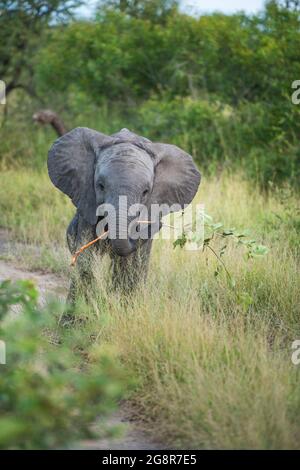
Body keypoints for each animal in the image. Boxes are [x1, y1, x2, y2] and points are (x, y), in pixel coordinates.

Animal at [48, 126, 200, 302]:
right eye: (100, 186)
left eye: (145, 192)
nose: (159, 224)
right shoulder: (88, 202)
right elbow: (86, 255)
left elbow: (129, 263)